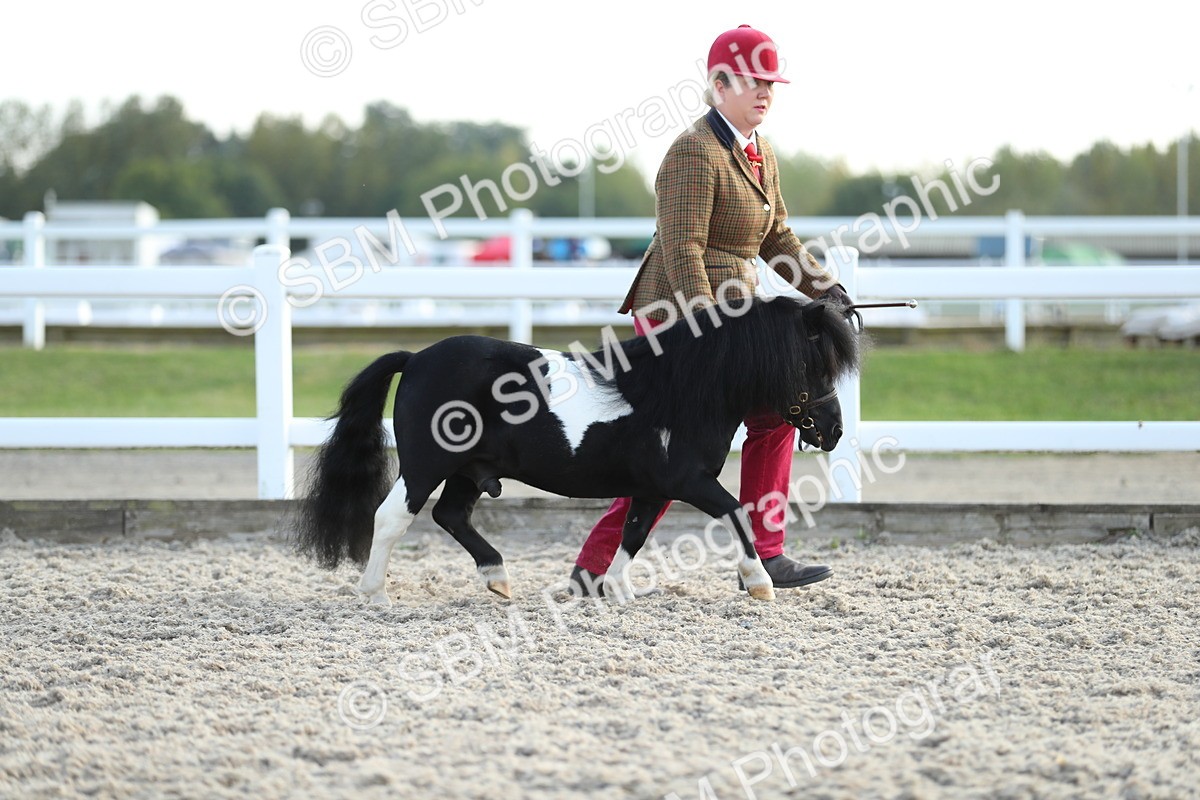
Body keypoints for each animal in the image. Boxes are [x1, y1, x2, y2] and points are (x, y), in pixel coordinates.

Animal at [294, 295, 860, 605]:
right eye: (815, 364)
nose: (833, 430)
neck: (684, 388)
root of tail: (414, 360)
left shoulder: (653, 489)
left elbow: (633, 534)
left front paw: (618, 589)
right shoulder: (689, 482)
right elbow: (736, 513)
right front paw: (760, 583)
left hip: (470, 469)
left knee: (451, 516)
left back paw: (498, 578)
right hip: (427, 465)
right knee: (392, 518)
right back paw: (375, 593)